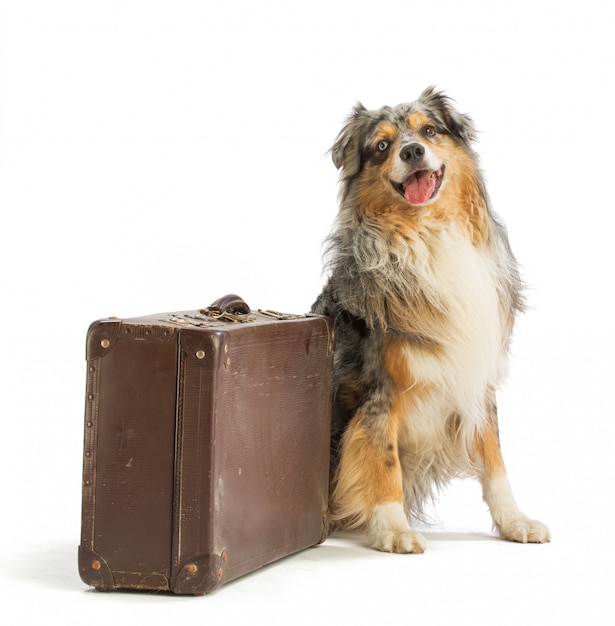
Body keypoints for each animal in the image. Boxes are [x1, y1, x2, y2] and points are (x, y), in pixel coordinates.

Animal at [312, 86, 552, 552]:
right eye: (382, 146)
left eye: (429, 130)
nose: (412, 151)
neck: (428, 230)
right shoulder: (379, 388)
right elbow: (384, 459)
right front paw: (394, 528)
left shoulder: (477, 375)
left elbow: (496, 459)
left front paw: (514, 521)